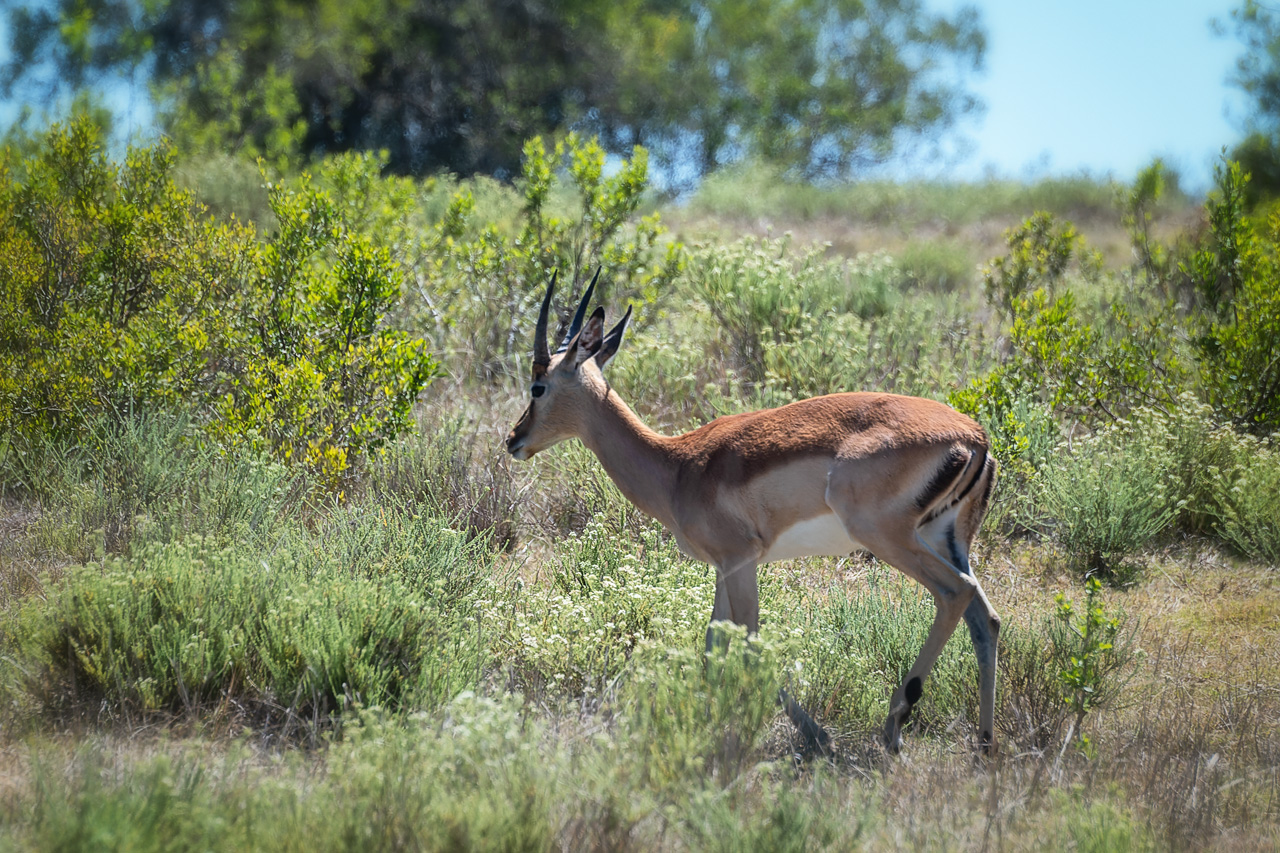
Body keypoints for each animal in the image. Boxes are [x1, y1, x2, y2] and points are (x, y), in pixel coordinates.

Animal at [506, 272, 1002, 755]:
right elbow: (713, 643)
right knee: (986, 618)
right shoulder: (724, 567)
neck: (677, 466)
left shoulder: (740, 559)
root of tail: (974, 437)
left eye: (538, 385)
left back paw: (895, 726)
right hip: (944, 540)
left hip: (887, 538)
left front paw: (818, 736)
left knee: (955, 594)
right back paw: (984, 744)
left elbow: (750, 639)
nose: (514, 438)